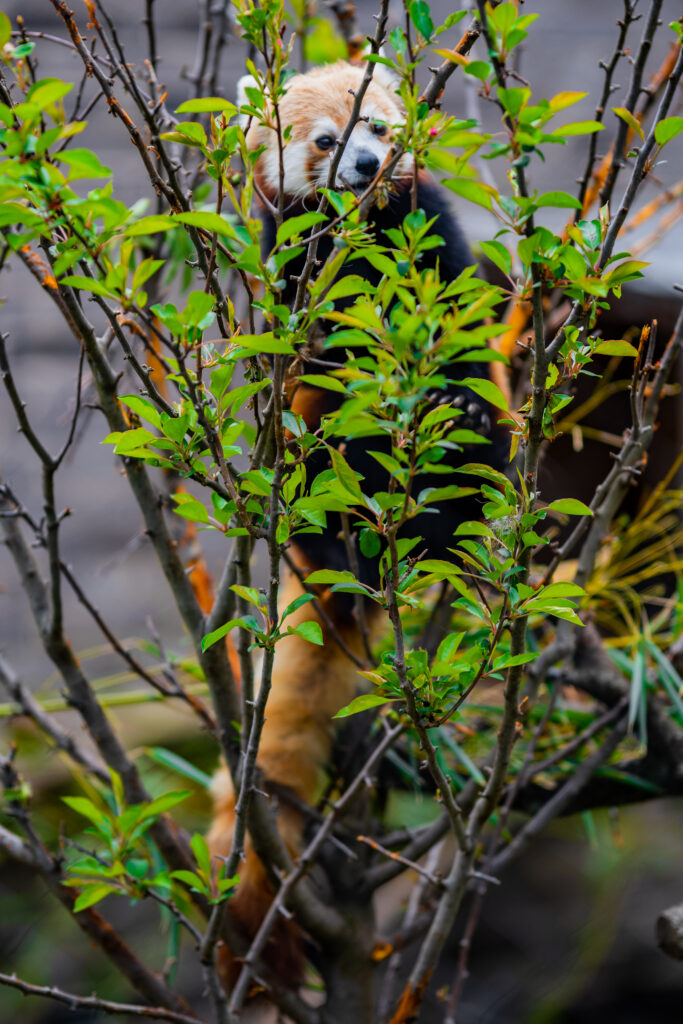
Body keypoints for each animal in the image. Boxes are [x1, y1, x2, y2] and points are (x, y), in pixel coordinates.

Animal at [208, 60, 509, 986]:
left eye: (377, 127)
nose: (368, 167)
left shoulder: (427, 227)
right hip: (310, 479)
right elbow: (311, 345)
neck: (360, 232)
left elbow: (457, 308)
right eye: (324, 141)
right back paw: (346, 551)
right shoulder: (291, 258)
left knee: (474, 429)